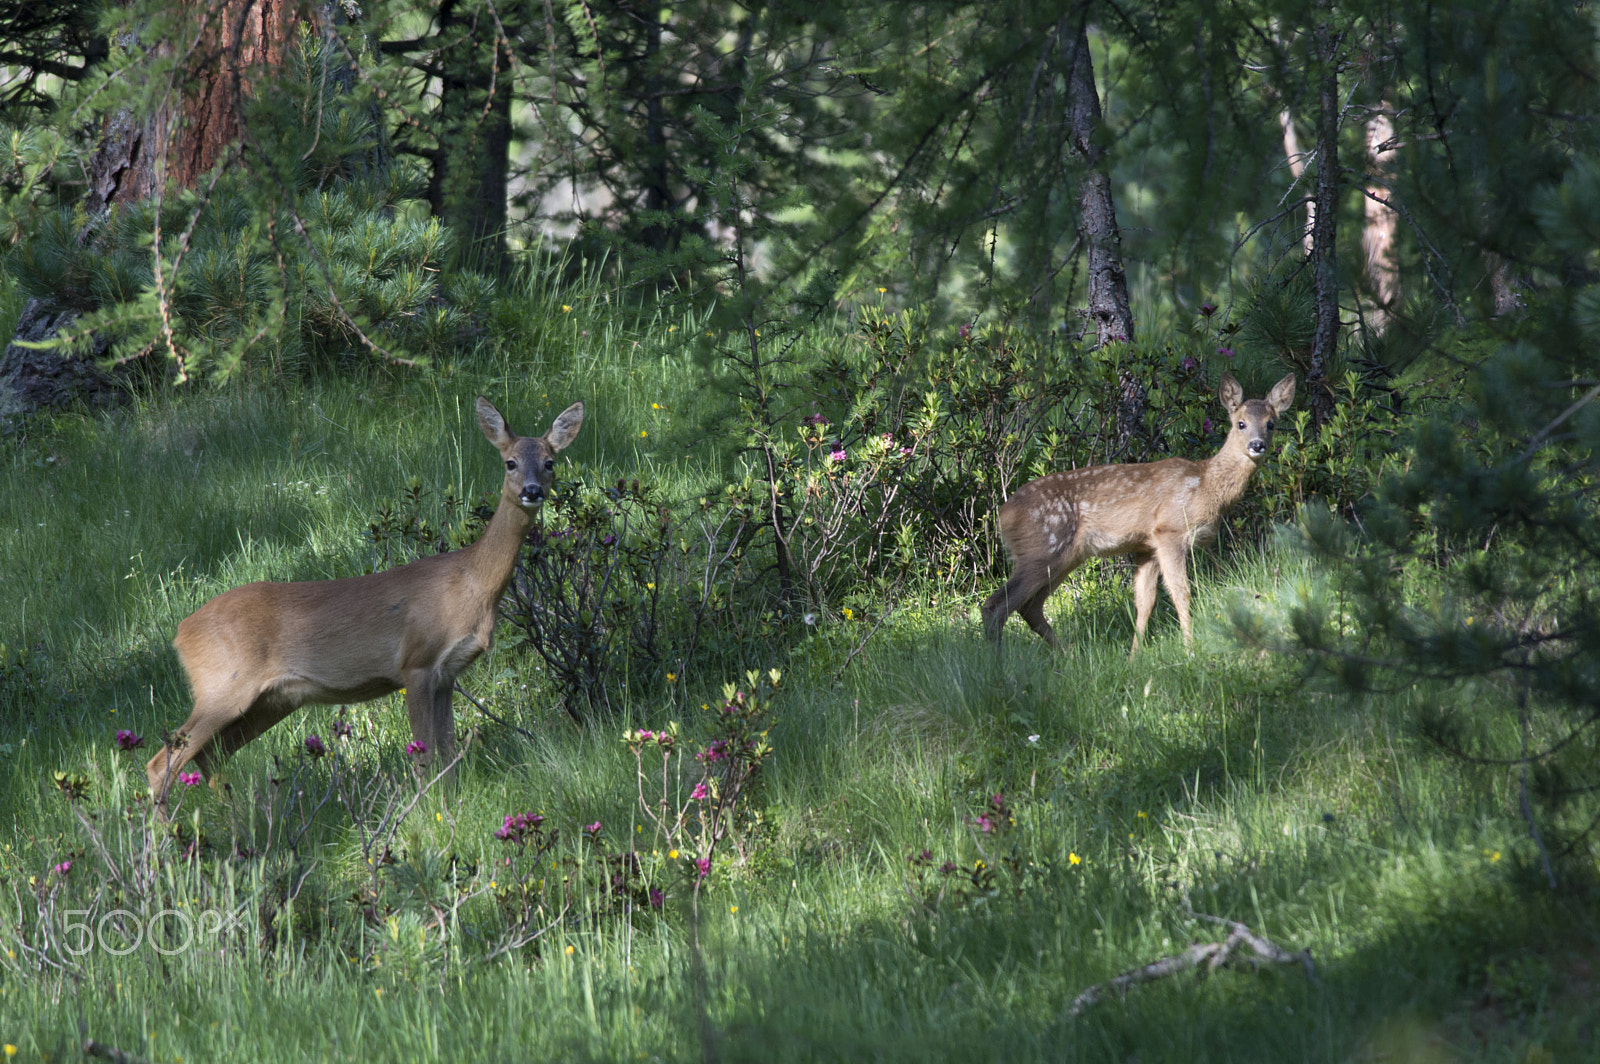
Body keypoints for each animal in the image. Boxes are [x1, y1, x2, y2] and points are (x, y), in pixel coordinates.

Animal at [147, 396, 585, 812]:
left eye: (550, 462)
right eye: (510, 462)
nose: (532, 490)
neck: (471, 582)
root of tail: (180, 633)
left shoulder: (447, 674)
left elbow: (447, 751)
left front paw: (449, 802)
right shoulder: (416, 662)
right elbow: (425, 755)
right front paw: (426, 809)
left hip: (269, 700)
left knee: (210, 754)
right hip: (222, 686)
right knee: (162, 761)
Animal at [979, 372, 1292, 656]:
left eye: (1271, 424)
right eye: (1241, 423)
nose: (1257, 445)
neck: (1206, 486)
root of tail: (1002, 514)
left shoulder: (1146, 546)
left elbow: (1145, 602)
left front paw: (1134, 656)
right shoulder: (1169, 531)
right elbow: (1182, 593)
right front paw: (1190, 649)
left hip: (1063, 557)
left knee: (1030, 607)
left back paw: (1069, 654)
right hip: (1042, 548)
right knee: (996, 605)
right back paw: (999, 663)